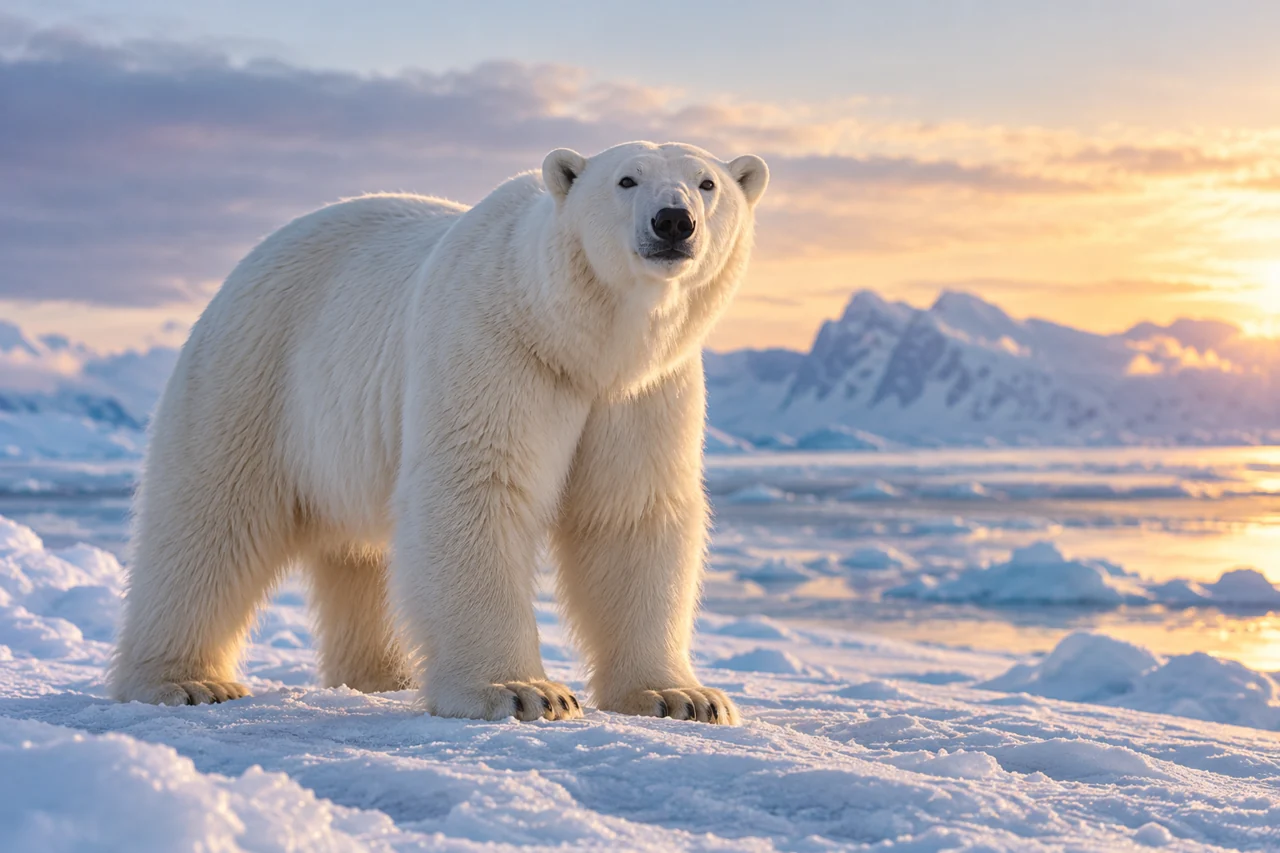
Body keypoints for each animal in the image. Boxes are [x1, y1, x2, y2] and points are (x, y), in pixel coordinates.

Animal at [110, 141, 769, 723]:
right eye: (626, 180)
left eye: (708, 183)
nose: (673, 221)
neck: (575, 338)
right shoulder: (496, 345)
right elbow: (475, 488)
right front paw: (523, 692)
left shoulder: (644, 392)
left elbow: (630, 513)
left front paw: (683, 698)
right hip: (258, 373)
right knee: (211, 518)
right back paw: (186, 681)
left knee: (357, 555)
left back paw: (387, 673)